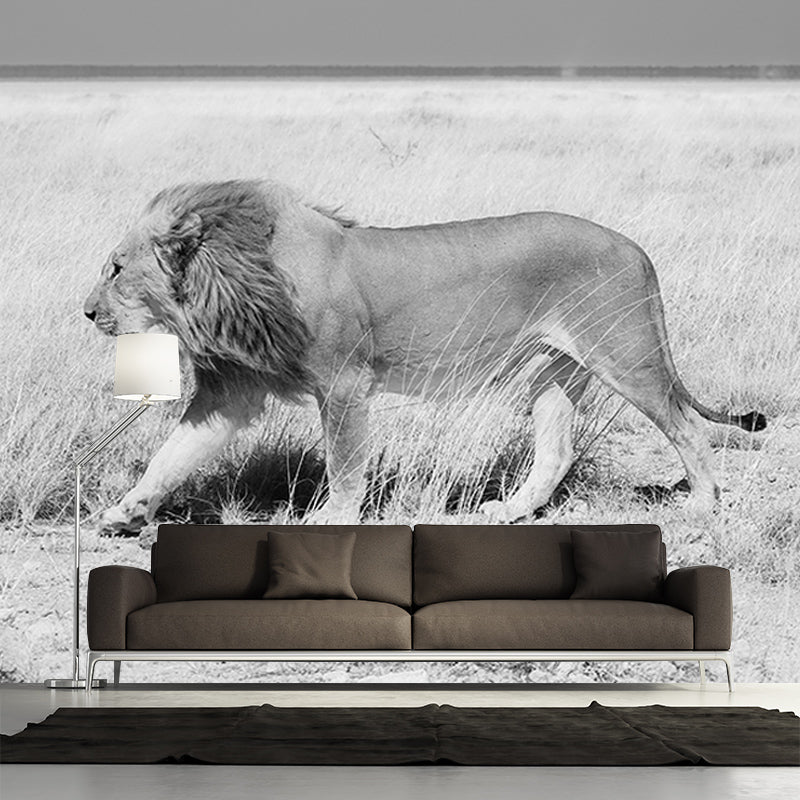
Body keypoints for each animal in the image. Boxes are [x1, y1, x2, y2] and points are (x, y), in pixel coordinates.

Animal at [83, 179, 766, 533]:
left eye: (115, 268)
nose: (87, 312)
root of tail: (635, 248)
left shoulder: (345, 384)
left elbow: (345, 466)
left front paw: (332, 520)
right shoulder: (233, 391)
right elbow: (172, 455)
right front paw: (126, 511)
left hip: (626, 357)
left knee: (688, 426)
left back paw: (701, 506)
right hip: (553, 371)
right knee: (556, 451)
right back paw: (508, 512)